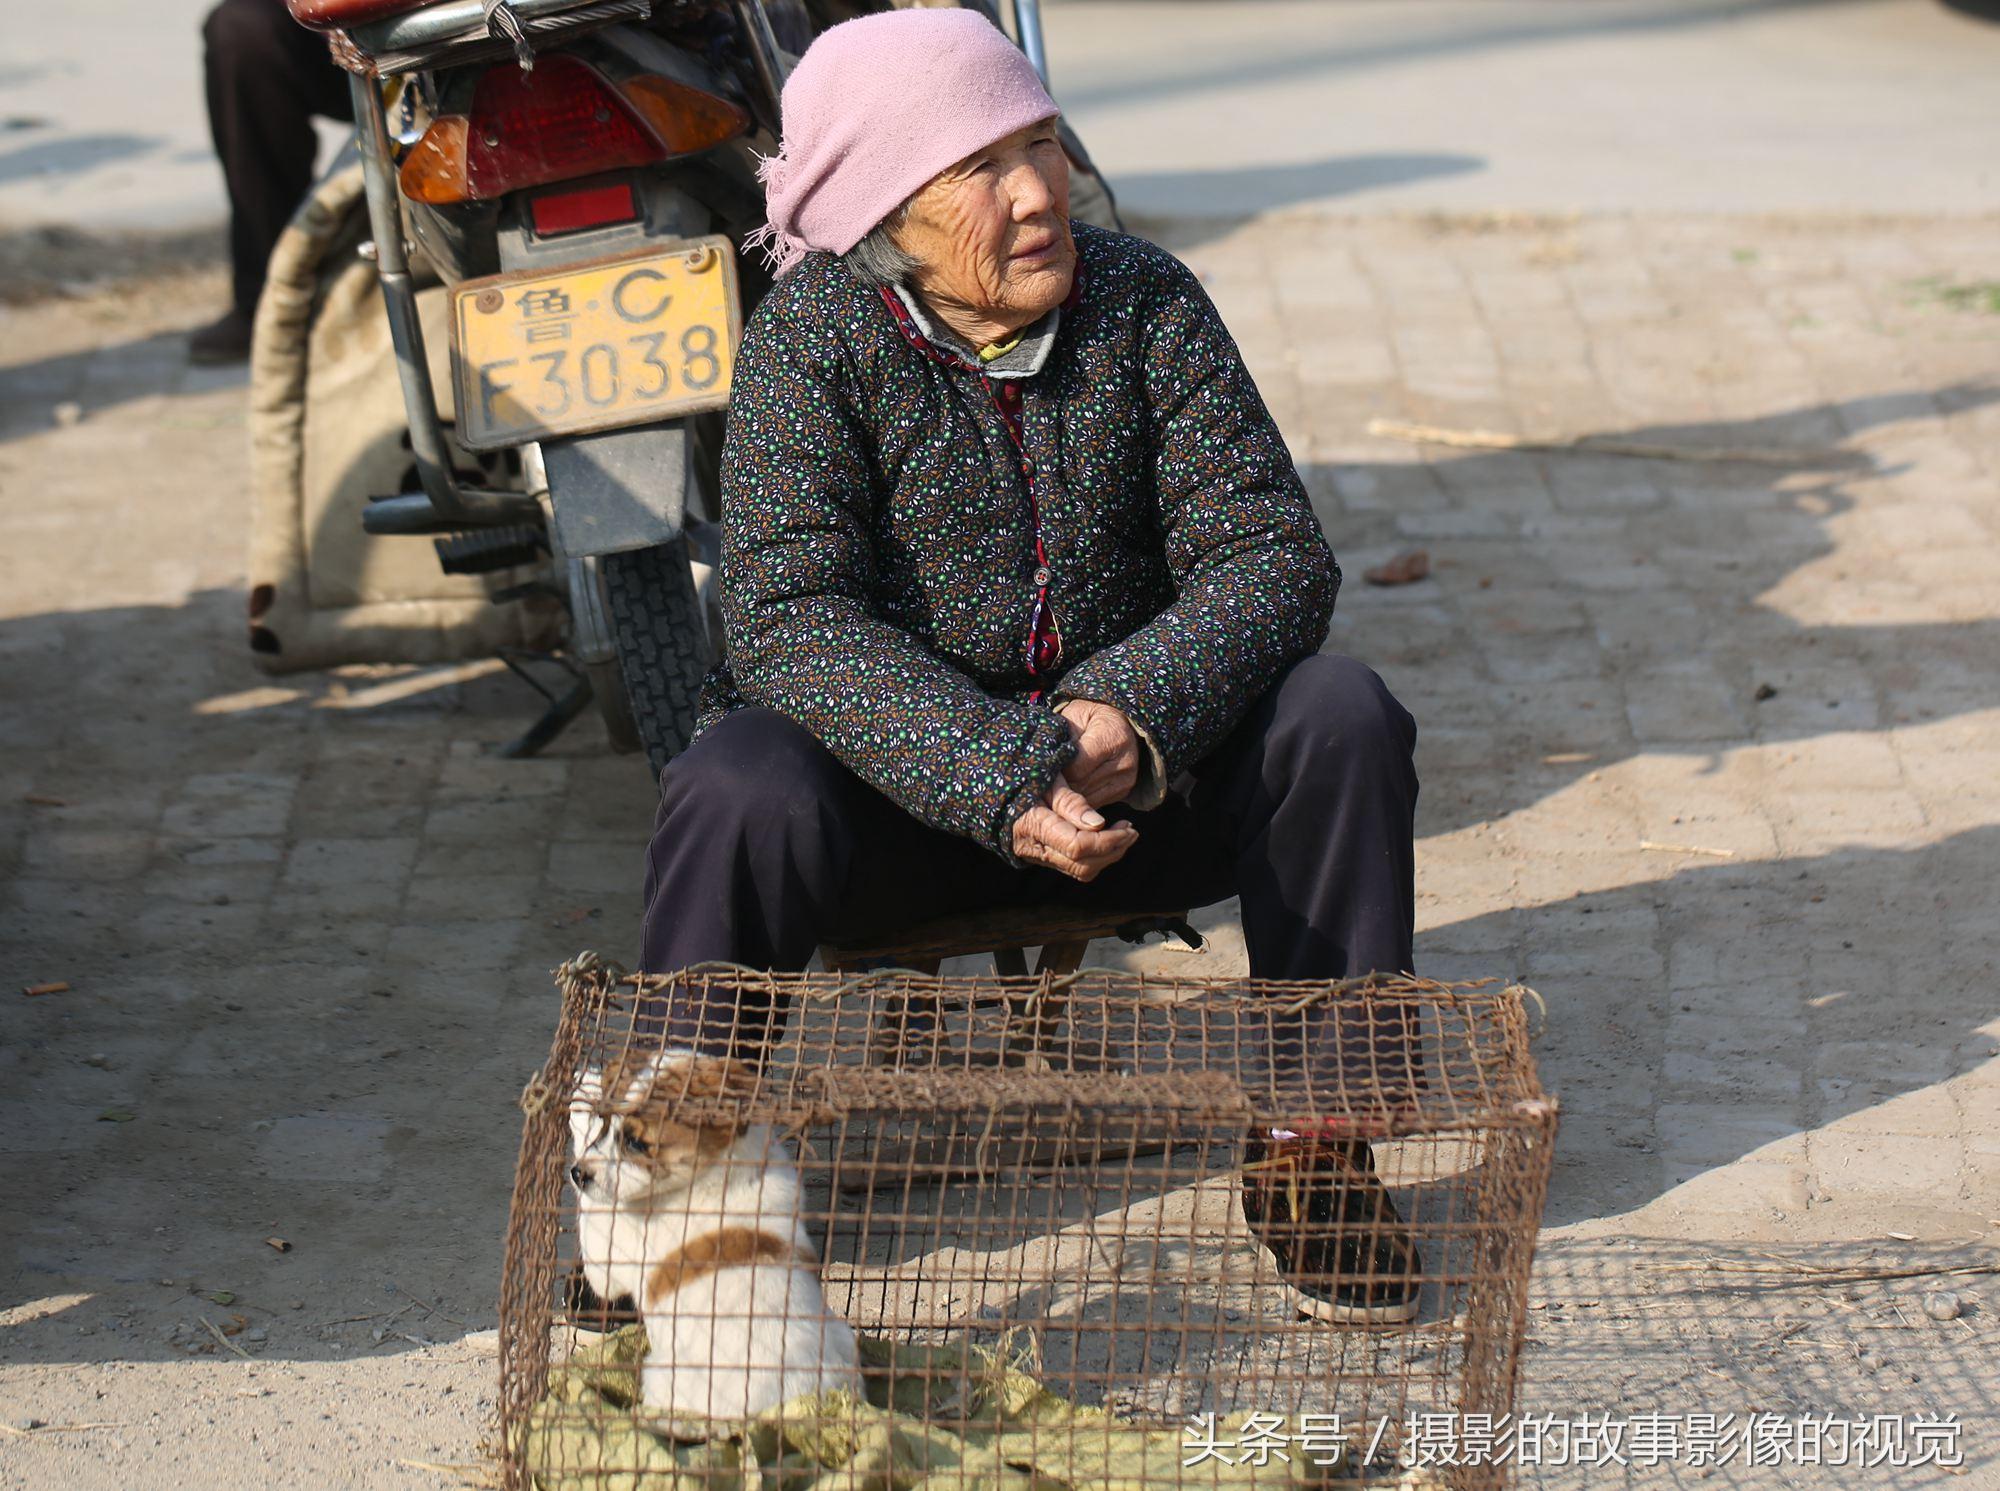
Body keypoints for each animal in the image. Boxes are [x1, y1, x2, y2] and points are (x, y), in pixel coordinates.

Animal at [572, 1047, 868, 1415]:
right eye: (608, 1125)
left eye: (637, 1143)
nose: (577, 1174)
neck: (721, 1168)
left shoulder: (609, 1255)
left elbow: (592, 1210)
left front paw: (579, 1101)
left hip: (662, 1374)